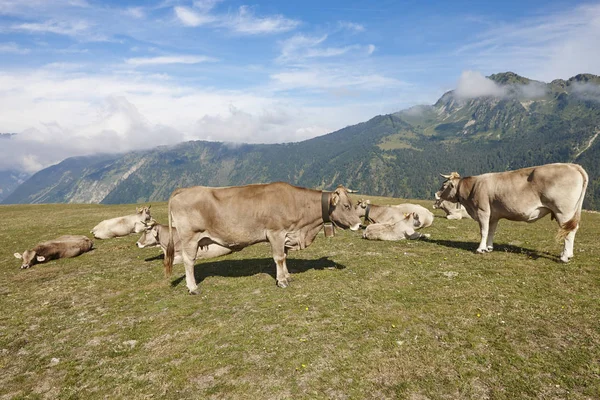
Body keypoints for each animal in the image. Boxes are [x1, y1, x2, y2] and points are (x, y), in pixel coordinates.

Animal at [164, 181, 360, 294]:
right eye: (346, 206)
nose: (359, 224)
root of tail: (183, 190)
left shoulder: (287, 235)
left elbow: (285, 257)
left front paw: (287, 276)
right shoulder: (276, 233)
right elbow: (279, 258)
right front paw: (282, 281)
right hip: (190, 237)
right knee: (188, 261)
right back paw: (193, 287)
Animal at [434, 163, 588, 262]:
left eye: (444, 185)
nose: (436, 194)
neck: (473, 187)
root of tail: (573, 166)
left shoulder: (483, 211)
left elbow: (483, 231)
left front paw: (480, 249)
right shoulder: (494, 215)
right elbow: (491, 231)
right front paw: (489, 248)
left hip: (564, 212)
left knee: (568, 232)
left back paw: (564, 257)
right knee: (573, 230)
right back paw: (568, 254)